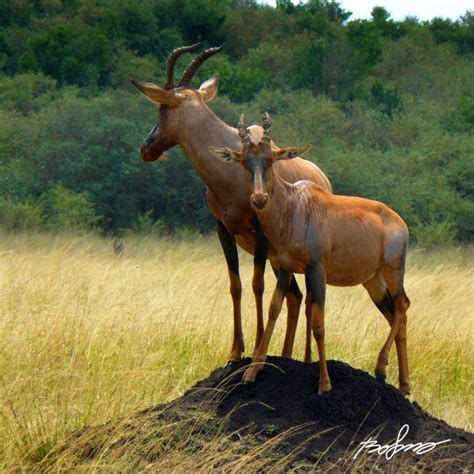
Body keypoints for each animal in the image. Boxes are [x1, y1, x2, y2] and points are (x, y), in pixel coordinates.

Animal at [131, 44, 332, 364]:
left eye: (162, 107)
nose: (146, 148)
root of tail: (322, 179)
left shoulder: (260, 231)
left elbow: (257, 284)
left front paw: (257, 345)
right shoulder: (223, 229)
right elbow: (235, 285)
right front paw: (235, 351)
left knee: (308, 297)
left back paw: (304, 358)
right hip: (280, 258)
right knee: (295, 296)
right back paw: (284, 354)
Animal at [208, 113, 412, 394]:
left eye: (271, 160)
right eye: (244, 161)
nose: (259, 199)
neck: (295, 205)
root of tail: (399, 221)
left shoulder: (317, 270)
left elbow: (319, 324)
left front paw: (324, 384)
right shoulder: (284, 268)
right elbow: (274, 310)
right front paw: (251, 372)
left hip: (393, 271)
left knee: (403, 306)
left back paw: (381, 369)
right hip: (373, 280)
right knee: (395, 315)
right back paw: (402, 385)